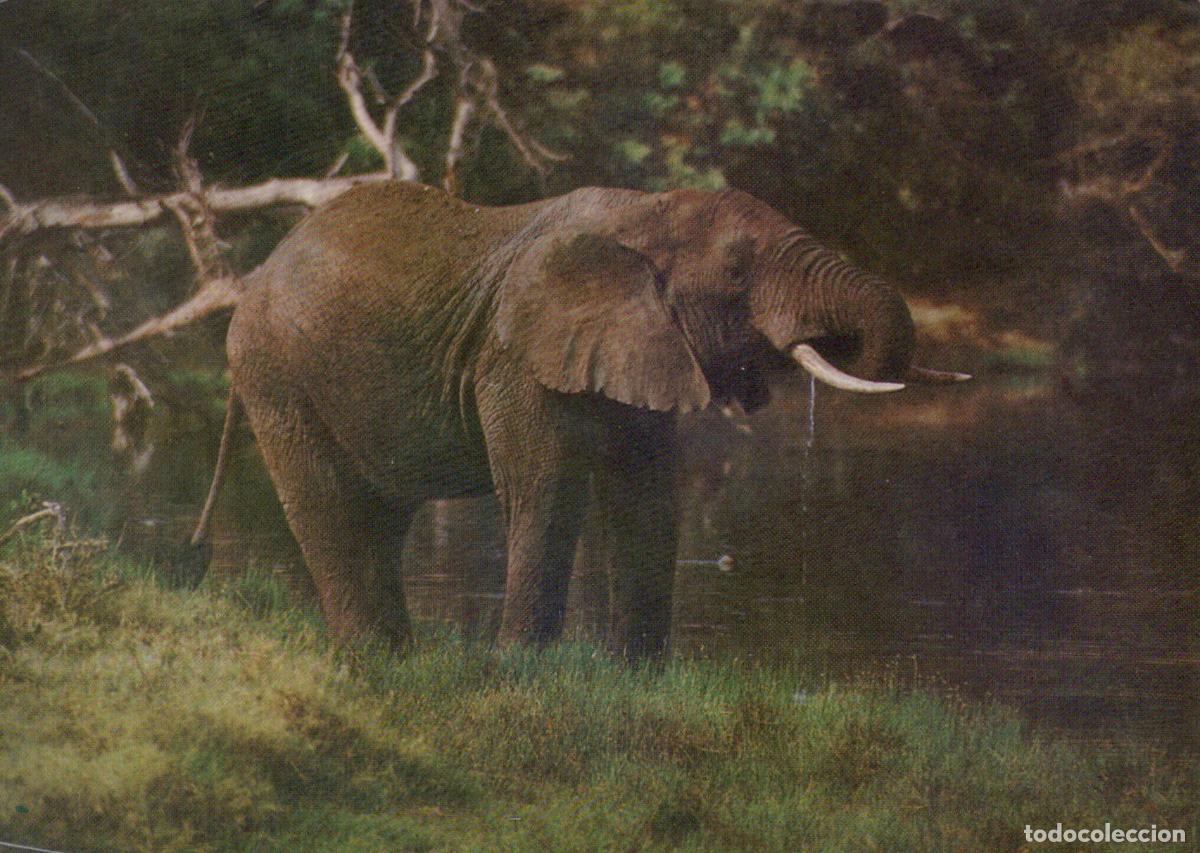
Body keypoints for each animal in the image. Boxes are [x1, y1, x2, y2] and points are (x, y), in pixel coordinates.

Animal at [189, 181, 967, 658]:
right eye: (737, 273)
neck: (646, 211)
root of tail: (256, 275)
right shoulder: (515, 356)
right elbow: (547, 492)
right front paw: (518, 671)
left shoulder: (642, 347)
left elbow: (647, 500)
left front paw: (638, 677)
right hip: (276, 373)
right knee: (330, 507)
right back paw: (374, 659)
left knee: (381, 515)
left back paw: (400, 660)